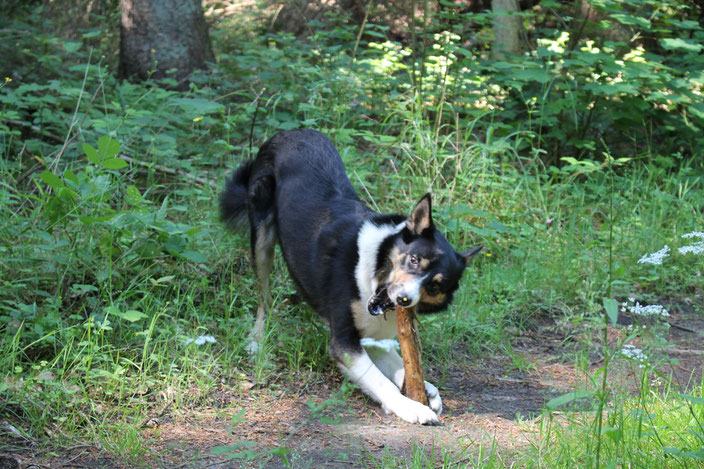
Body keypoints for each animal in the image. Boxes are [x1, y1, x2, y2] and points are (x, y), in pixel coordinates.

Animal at [223, 128, 482, 424]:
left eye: (436, 285)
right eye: (414, 259)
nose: (403, 299)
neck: (374, 276)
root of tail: (292, 132)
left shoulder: (376, 340)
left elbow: (401, 366)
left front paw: (426, 389)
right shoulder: (344, 344)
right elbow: (380, 381)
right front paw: (411, 407)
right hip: (262, 237)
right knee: (263, 297)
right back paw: (256, 339)